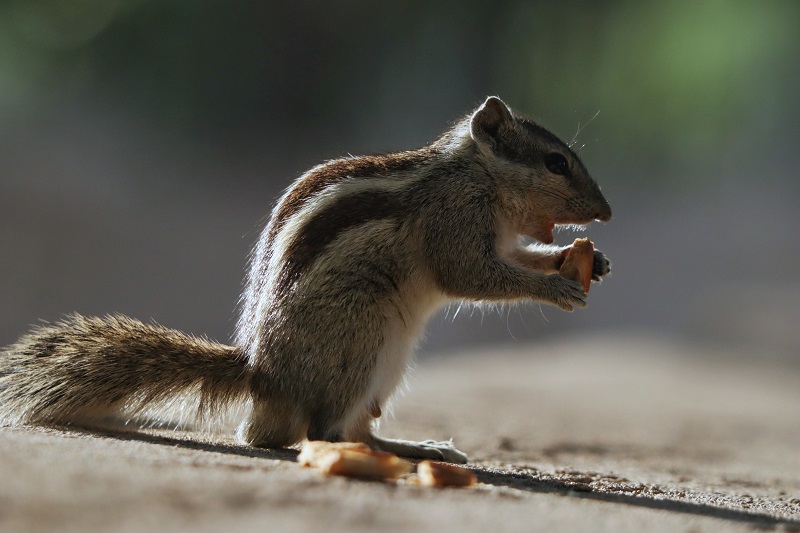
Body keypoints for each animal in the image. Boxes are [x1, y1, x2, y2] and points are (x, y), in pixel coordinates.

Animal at [0, 96, 611, 464]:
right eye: (556, 162)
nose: (604, 212)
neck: (476, 173)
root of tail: (263, 375)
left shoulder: (500, 236)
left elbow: (515, 257)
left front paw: (583, 261)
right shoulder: (453, 220)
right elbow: (472, 275)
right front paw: (556, 287)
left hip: (387, 363)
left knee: (351, 427)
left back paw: (413, 448)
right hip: (362, 336)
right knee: (320, 432)